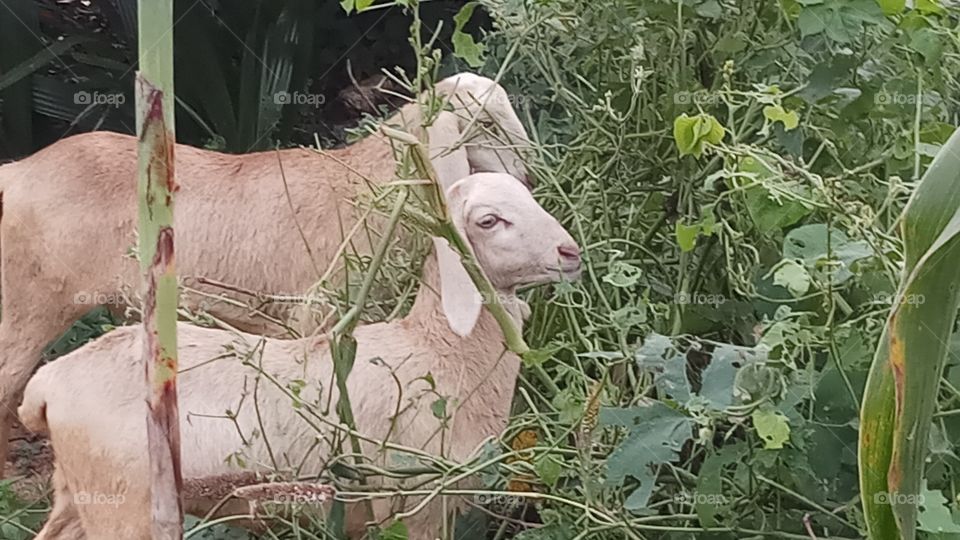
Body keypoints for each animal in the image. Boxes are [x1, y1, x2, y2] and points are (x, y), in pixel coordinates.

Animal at [0, 72, 534, 476]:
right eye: (485, 122)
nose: (529, 173)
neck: (365, 188)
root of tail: (16, 172)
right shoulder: (321, 315)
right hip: (30, 303)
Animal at [18, 171, 583, 540]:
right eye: (489, 220)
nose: (569, 252)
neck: (438, 349)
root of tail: (48, 382)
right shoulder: (414, 505)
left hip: (79, 493)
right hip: (126, 505)